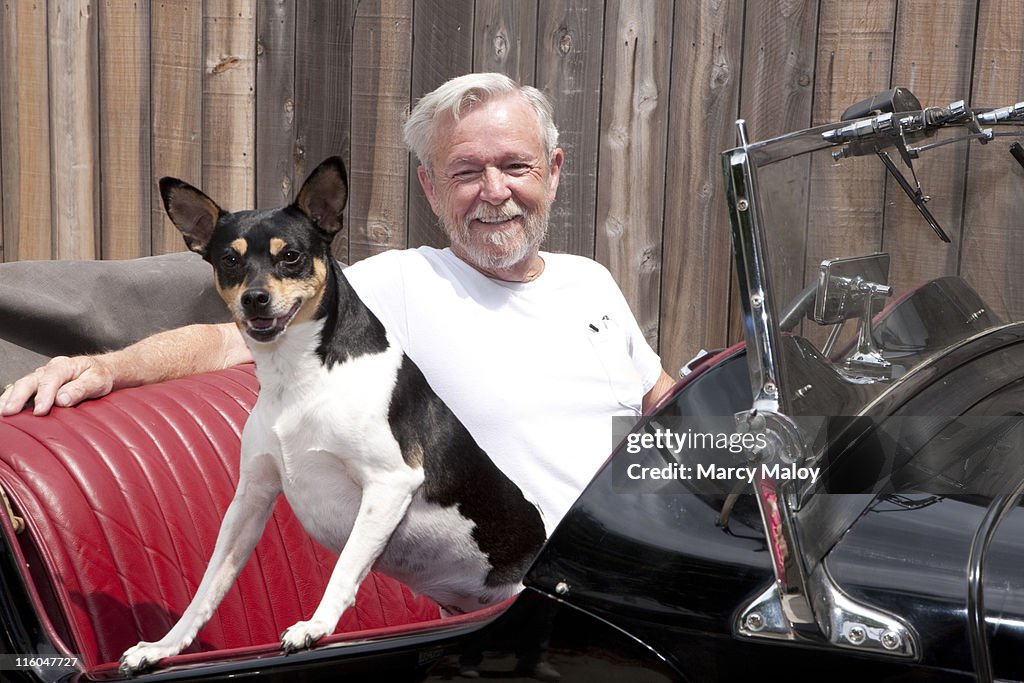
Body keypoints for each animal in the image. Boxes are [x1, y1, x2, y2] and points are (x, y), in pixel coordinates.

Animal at [119, 158, 548, 671]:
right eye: (230, 260)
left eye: (291, 256)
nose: (254, 299)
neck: (300, 378)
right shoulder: (250, 499)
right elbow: (207, 587)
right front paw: (163, 646)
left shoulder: (389, 482)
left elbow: (343, 571)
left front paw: (315, 626)